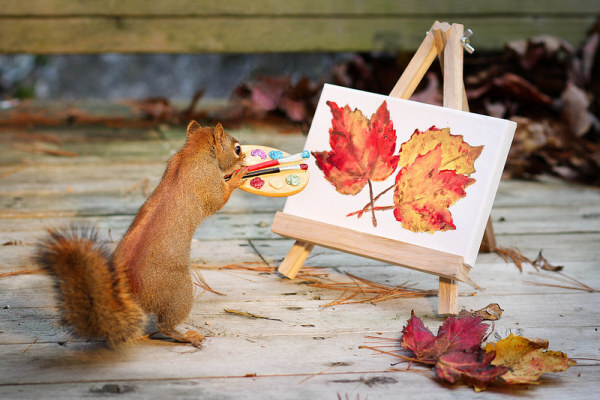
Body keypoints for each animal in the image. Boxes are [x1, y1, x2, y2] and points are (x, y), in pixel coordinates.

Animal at [34, 121, 246, 346]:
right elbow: (219, 199)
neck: (192, 152)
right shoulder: (207, 181)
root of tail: (132, 289)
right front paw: (237, 178)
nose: (244, 157)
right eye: (237, 149)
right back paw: (188, 336)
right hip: (179, 292)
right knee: (166, 324)